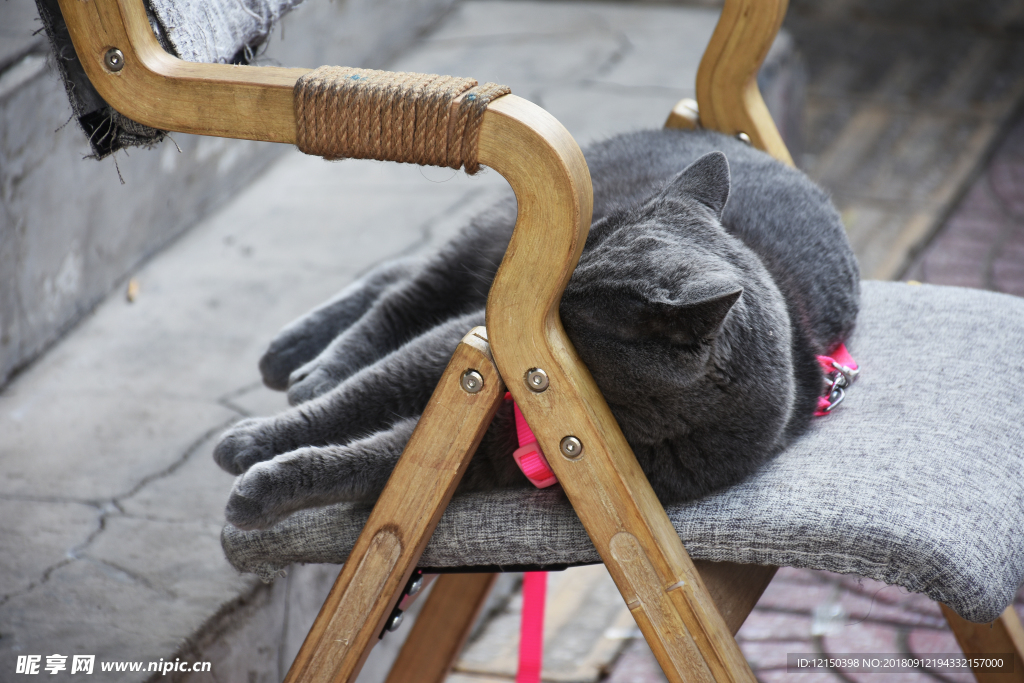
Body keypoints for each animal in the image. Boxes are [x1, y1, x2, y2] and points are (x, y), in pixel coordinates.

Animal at [214, 129, 856, 532]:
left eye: (571, 308)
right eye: (577, 247)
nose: (508, 301)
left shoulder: (495, 455)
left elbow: (383, 460)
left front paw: (260, 490)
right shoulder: (459, 343)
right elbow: (360, 397)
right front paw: (250, 444)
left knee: (400, 281)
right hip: (489, 241)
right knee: (404, 292)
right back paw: (304, 363)